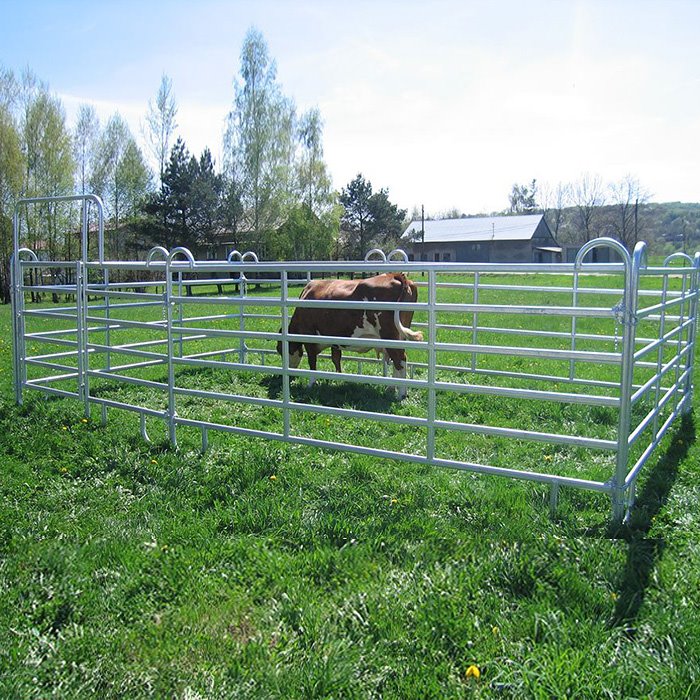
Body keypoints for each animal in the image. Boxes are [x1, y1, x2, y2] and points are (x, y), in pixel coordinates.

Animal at [276, 272, 423, 399]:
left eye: (280, 350)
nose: (284, 376)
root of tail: (394, 275)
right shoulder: (334, 339)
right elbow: (336, 359)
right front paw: (338, 378)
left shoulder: (309, 338)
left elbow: (312, 363)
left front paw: (311, 384)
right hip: (399, 336)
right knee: (398, 360)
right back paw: (391, 389)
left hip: (390, 337)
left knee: (400, 360)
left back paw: (401, 394)